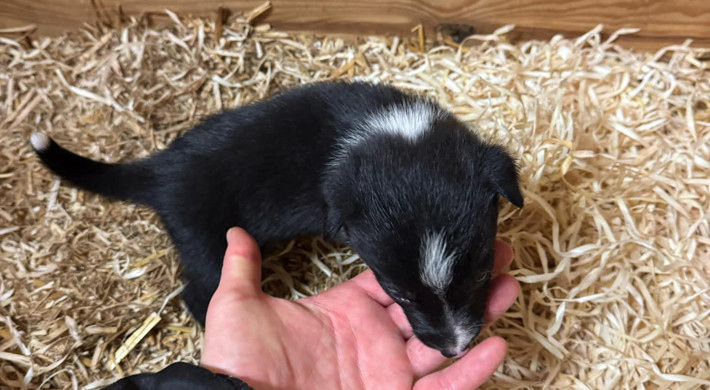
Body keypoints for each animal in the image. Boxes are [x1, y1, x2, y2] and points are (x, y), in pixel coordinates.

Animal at [32, 80, 524, 358]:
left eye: (482, 274)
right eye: (398, 293)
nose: (454, 349)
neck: (390, 134)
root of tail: (160, 169)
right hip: (204, 240)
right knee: (197, 290)